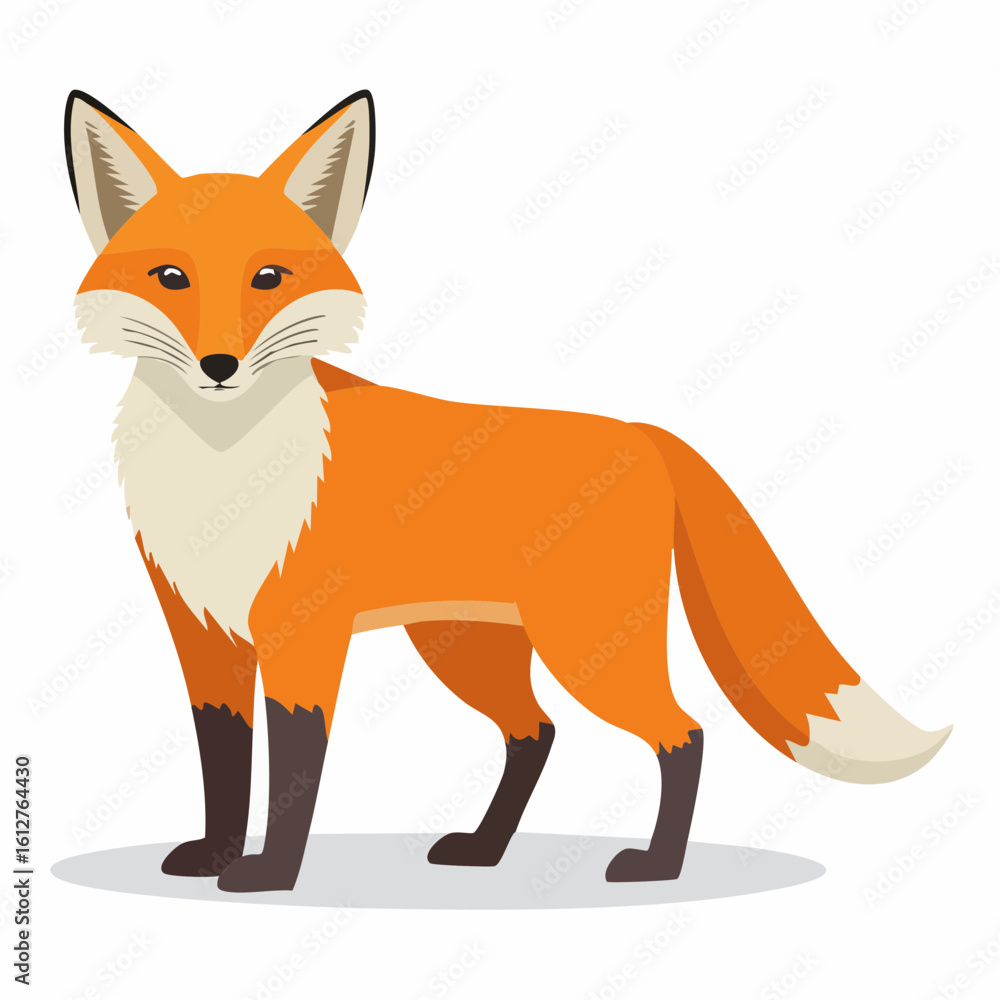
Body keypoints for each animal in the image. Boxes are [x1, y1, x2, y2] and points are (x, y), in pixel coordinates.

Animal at [65, 89, 952, 894]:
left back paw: (656, 866)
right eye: (170, 277)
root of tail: (645, 435)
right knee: (536, 732)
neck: (223, 476)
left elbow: (293, 774)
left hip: (588, 648)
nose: (220, 365)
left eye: (269, 278)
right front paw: (214, 857)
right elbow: (223, 765)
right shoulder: (202, 633)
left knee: (683, 733)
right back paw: (486, 850)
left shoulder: (300, 636)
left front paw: (269, 875)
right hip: (469, 648)